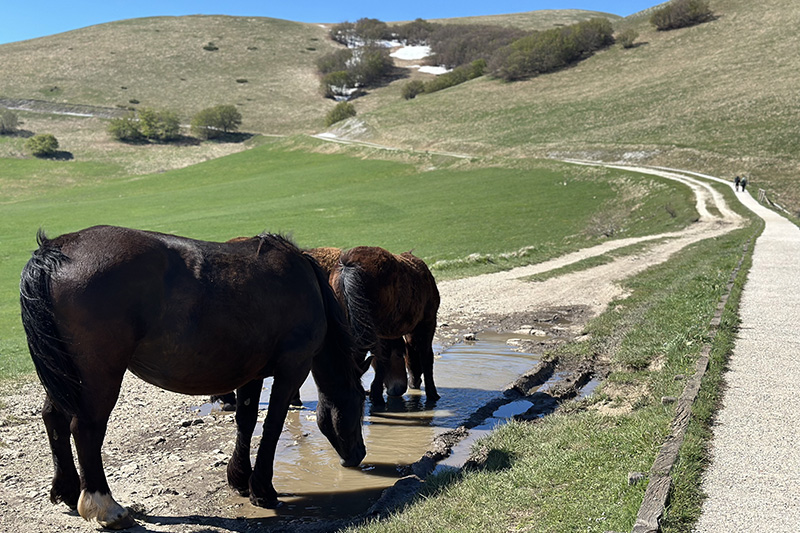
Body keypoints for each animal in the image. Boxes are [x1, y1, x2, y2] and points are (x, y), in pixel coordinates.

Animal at [19, 225, 371, 529]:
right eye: (358, 404)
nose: (360, 455)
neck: (306, 284)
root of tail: (58, 248)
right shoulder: (291, 369)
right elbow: (271, 426)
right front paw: (262, 490)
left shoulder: (252, 373)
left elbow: (246, 421)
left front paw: (240, 480)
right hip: (98, 375)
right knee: (86, 429)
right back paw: (106, 508)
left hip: (67, 374)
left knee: (54, 418)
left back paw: (67, 490)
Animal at [311, 246, 441, 404]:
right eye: (401, 355)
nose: (411, 384)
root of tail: (348, 265)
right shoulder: (427, 322)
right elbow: (425, 357)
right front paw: (432, 394)